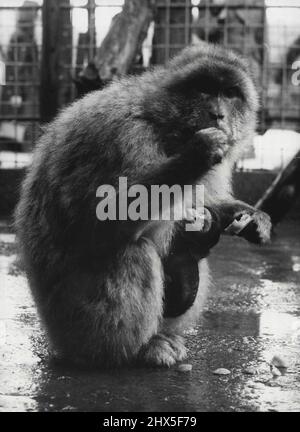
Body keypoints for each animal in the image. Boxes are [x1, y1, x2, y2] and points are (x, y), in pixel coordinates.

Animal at [15, 44, 272, 368]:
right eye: (203, 89)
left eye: (230, 93)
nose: (217, 114)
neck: (162, 124)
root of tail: (55, 339)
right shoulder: (127, 138)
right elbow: (99, 222)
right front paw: (195, 156)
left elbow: (206, 204)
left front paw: (252, 217)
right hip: (77, 325)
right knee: (134, 251)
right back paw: (132, 352)